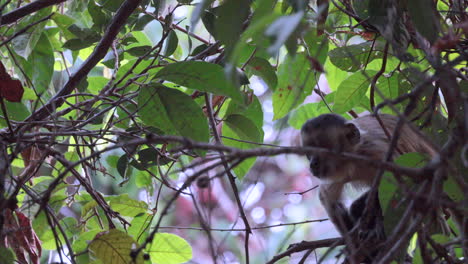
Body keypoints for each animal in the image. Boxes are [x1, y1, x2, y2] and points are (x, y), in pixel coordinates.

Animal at [302, 113, 436, 262]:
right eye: (308, 154)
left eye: (320, 148)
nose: (312, 164)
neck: (354, 159)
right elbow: (328, 199)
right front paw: (354, 246)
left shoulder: (377, 151)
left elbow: (403, 187)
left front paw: (380, 229)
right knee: (356, 207)